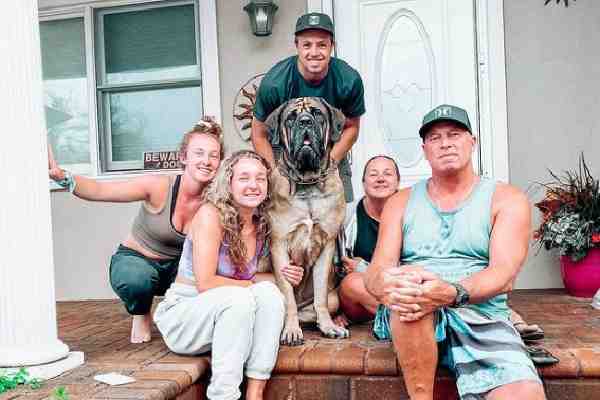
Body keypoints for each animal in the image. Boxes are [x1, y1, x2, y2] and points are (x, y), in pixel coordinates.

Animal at [259, 97, 349, 346]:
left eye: (317, 114)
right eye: (291, 117)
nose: (305, 121)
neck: (307, 184)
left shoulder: (327, 245)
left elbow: (320, 296)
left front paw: (328, 326)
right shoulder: (279, 245)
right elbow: (288, 295)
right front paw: (291, 331)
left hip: (335, 298)